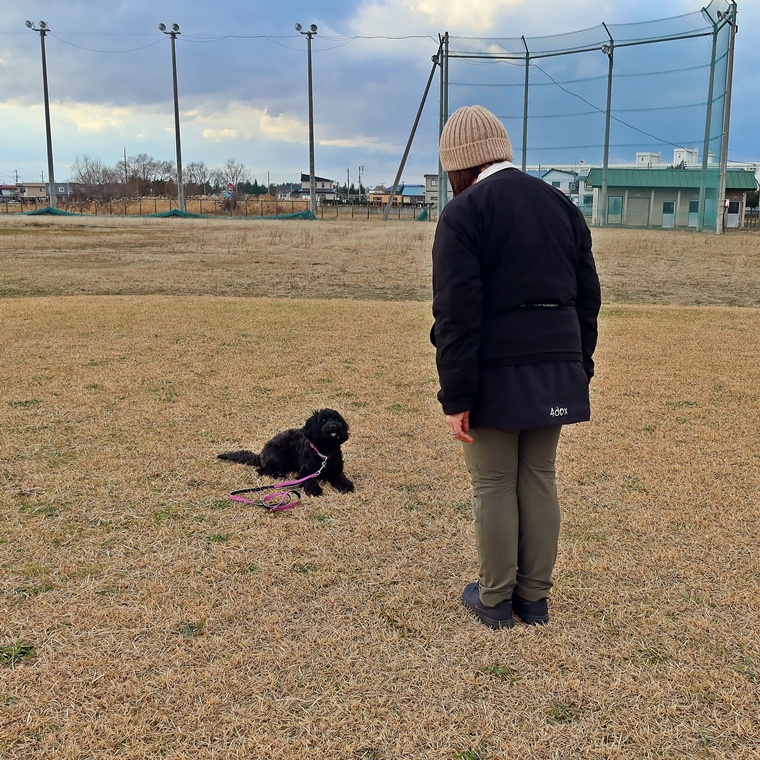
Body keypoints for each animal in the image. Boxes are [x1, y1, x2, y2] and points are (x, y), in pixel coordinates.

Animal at [218, 408, 354, 497]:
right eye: (323, 420)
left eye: (336, 419)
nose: (333, 426)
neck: (324, 452)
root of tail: (261, 454)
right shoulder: (304, 473)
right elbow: (309, 481)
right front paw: (314, 490)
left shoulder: (336, 471)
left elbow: (341, 478)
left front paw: (346, 486)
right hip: (280, 456)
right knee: (262, 470)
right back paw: (279, 475)